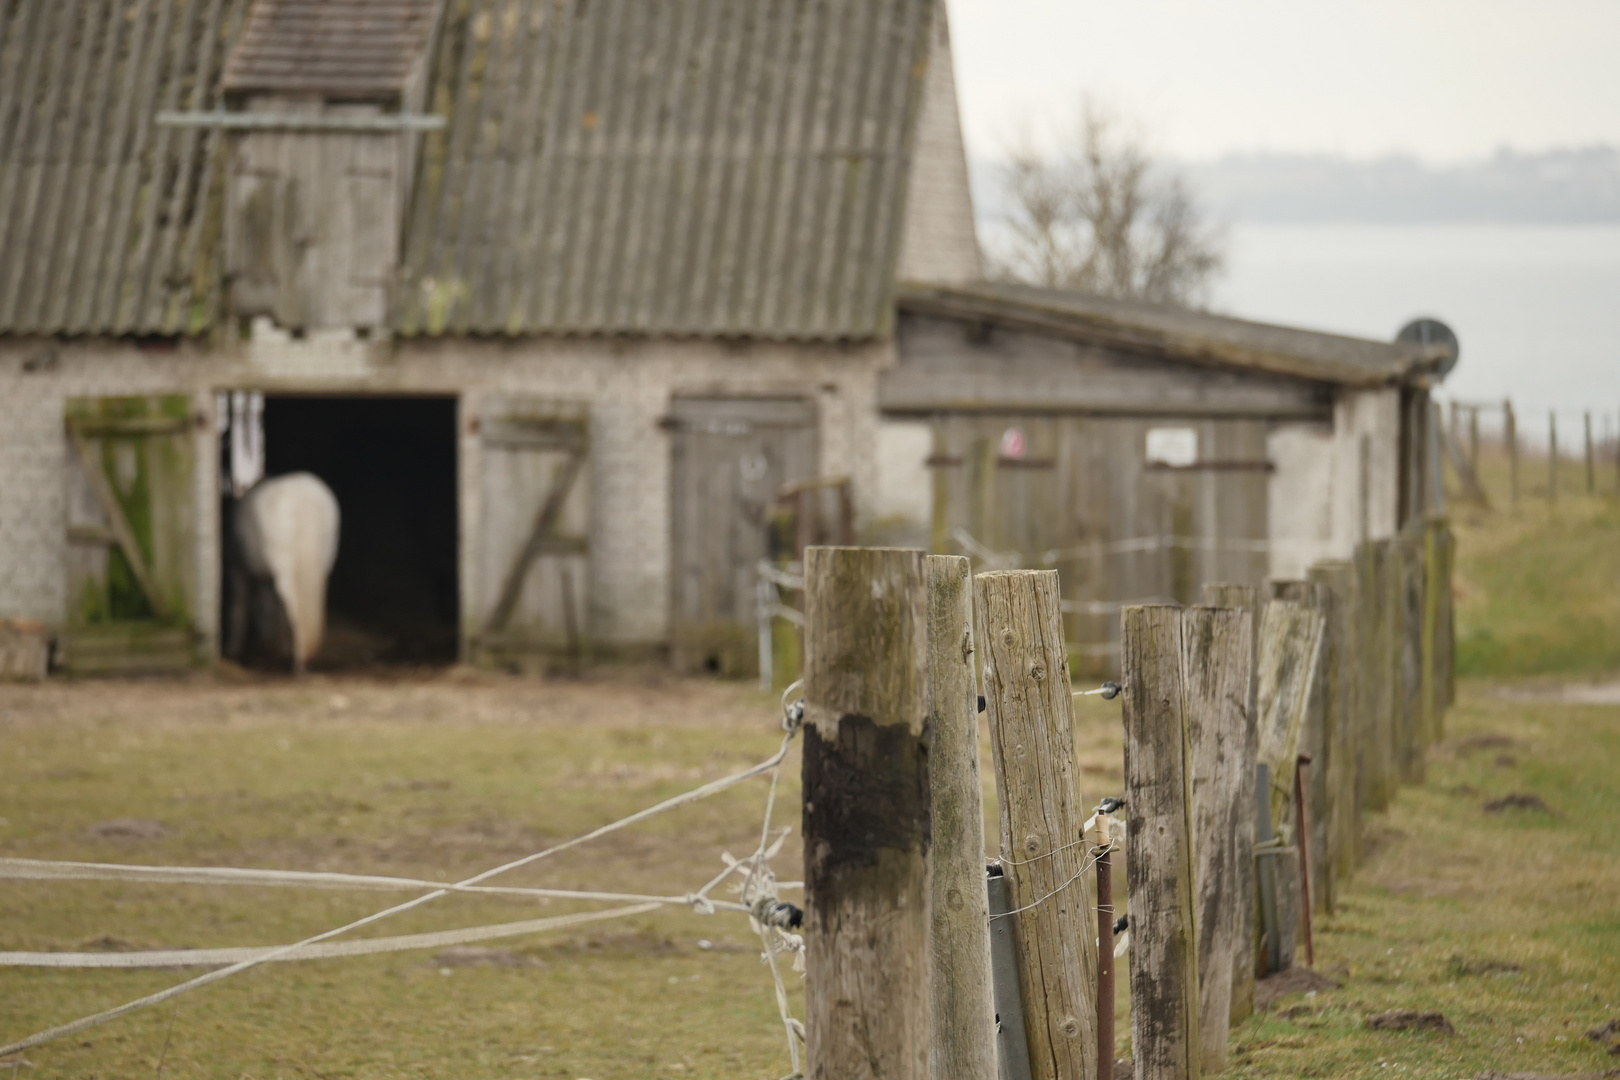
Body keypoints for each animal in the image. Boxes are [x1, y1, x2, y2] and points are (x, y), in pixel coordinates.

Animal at [233, 469, 340, 670]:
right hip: (321, 564)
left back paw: (297, 661)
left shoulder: (239, 569)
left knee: (291, 608)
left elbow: (241, 609)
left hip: (283, 571)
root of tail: (305, 503)